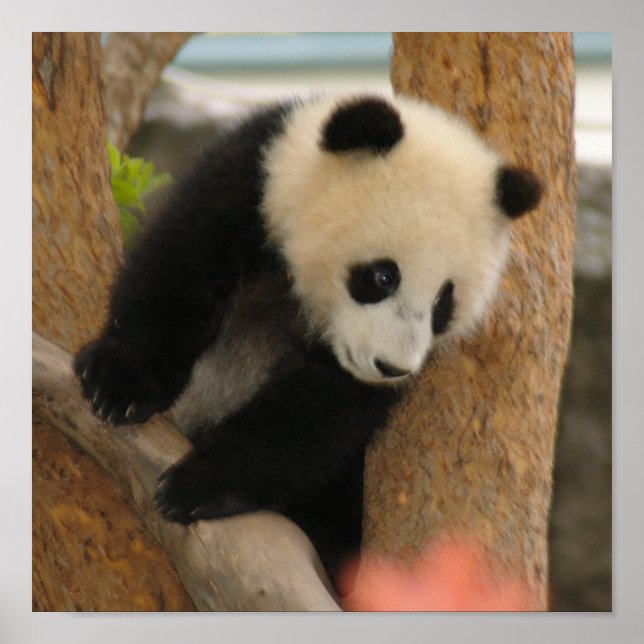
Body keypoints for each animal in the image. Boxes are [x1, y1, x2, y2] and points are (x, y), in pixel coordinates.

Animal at [74, 93, 541, 586]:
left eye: (442, 303)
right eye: (383, 276)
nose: (391, 367)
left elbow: (319, 411)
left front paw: (199, 484)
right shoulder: (253, 179)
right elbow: (179, 267)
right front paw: (117, 385)